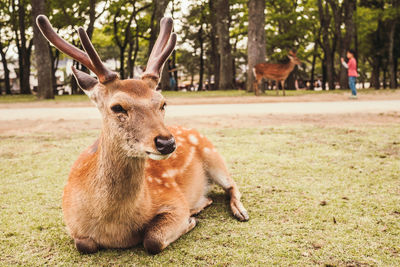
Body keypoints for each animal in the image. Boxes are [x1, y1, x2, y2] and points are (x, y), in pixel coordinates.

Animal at [36, 15, 248, 255]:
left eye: (163, 103)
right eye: (117, 107)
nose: (167, 142)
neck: (115, 230)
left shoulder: (174, 199)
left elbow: (152, 239)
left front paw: (190, 220)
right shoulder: (72, 225)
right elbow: (84, 244)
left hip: (214, 155)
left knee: (232, 184)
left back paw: (237, 211)